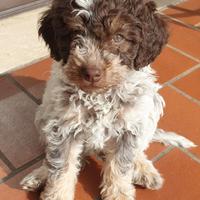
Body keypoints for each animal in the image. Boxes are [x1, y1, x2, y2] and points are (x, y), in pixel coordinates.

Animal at [21, 0, 196, 200]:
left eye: (118, 37)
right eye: (74, 34)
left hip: (151, 106)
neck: (99, 95)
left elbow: (121, 164)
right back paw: (40, 174)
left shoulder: (130, 126)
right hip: (43, 113)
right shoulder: (63, 126)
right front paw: (57, 193)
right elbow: (60, 166)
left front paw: (119, 193)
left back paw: (144, 169)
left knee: (138, 149)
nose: (91, 73)